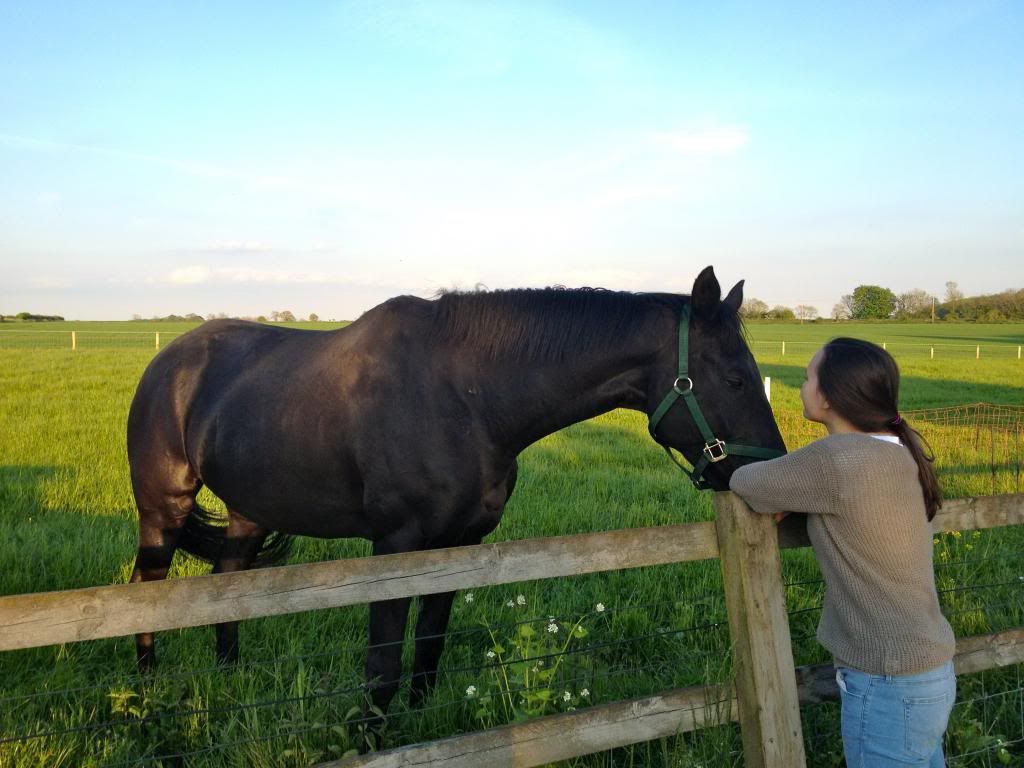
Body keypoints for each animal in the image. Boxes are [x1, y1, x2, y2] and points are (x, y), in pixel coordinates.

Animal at [126, 265, 785, 714]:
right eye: (734, 377)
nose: (770, 472)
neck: (467, 397)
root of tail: (169, 361)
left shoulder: (459, 543)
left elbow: (428, 651)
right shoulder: (394, 546)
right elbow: (383, 666)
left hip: (250, 511)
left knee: (228, 585)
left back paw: (228, 679)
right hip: (162, 510)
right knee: (146, 591)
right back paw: (145, 698)